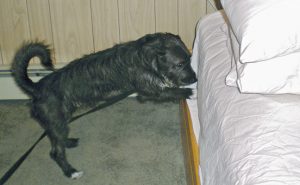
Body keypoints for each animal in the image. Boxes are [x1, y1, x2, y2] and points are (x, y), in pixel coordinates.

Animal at [11, 32, 197, 178]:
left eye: (190, 59)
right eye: (180, 64)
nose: (195, 78)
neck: (144, 54)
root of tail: (37, 88)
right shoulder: (148, 91)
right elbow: (172, 91)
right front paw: (191, 92)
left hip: (59, 123)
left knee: (57, 141)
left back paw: (68, 143)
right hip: (57, 122)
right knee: (55, 152)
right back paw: (71, 172)